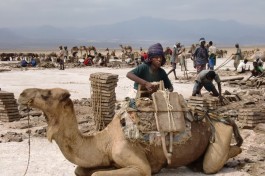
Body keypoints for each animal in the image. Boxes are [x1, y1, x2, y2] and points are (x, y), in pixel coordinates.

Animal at [18, 88, 241, 176]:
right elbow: (80, 170)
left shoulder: (136, 163)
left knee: (212, 164)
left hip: (220, 133)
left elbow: (97, 173)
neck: (104, 141)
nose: (22, 94)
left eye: (46, 94)